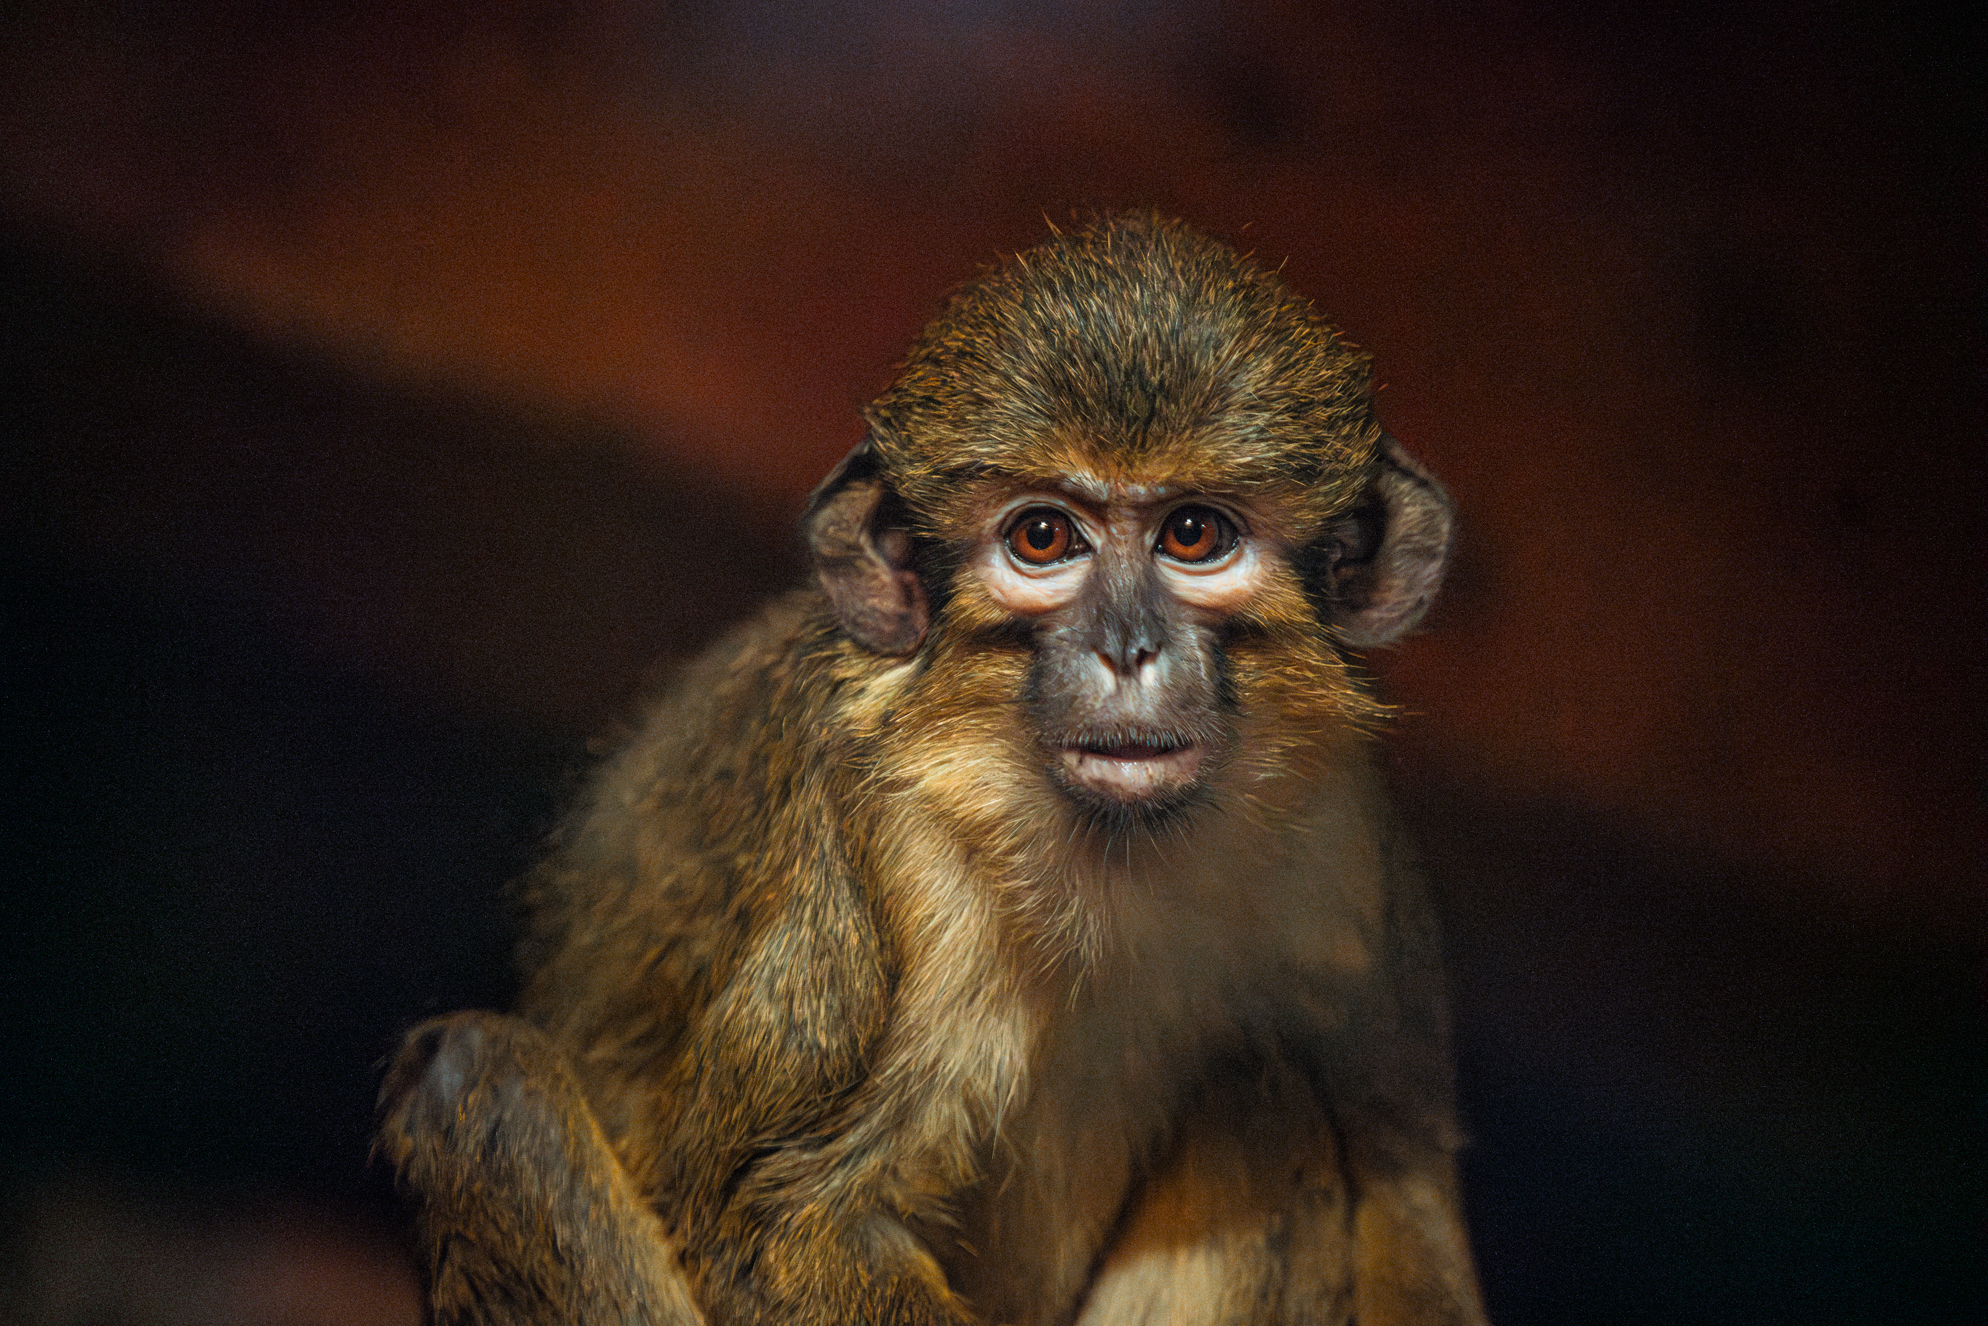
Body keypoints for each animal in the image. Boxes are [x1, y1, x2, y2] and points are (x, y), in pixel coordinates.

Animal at [376, 212, 1487, 1326]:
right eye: (1042, 536)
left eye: (1192, 534)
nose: (1126, 648)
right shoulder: (879, 827)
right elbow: (779, 1216)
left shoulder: (1343, 835)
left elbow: (1406, 1188)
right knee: (478, 1074)